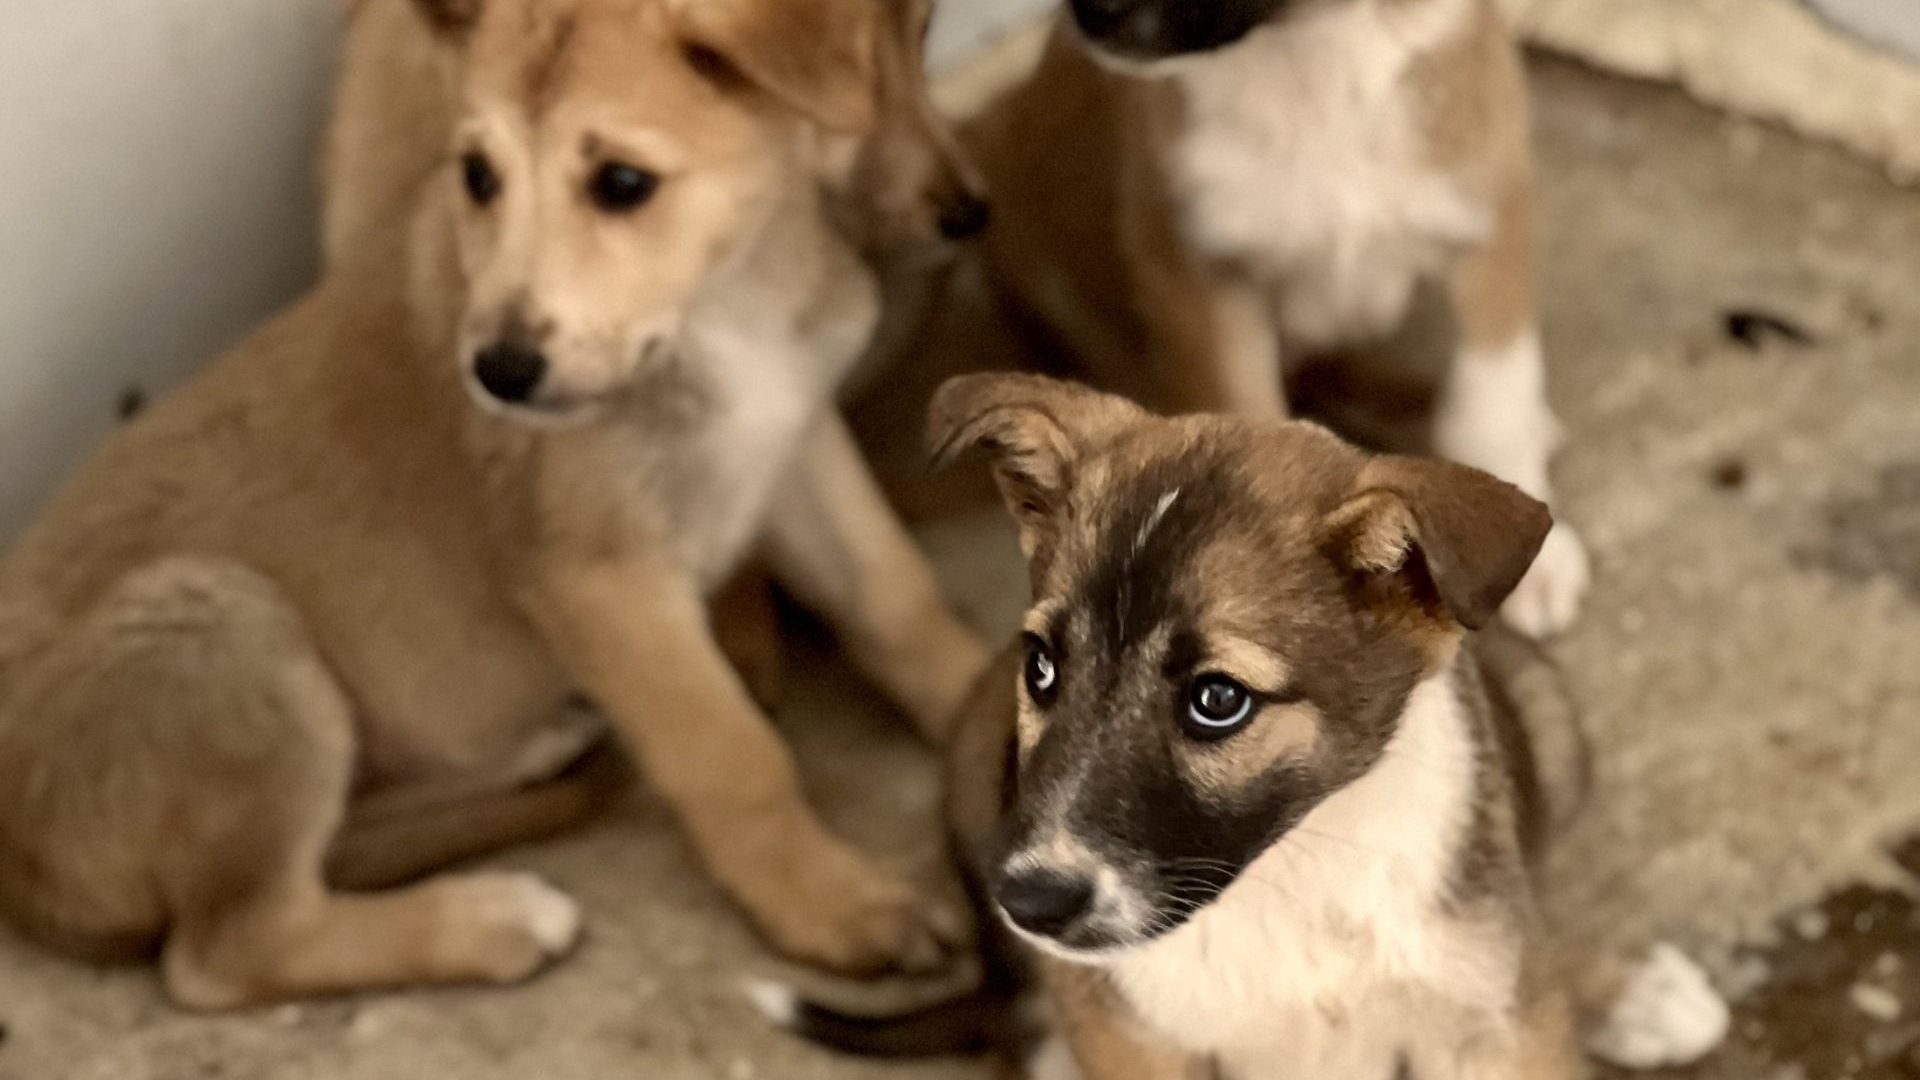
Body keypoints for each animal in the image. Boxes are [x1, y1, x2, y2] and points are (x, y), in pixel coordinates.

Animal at [0, 0, 990, 1006]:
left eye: (622, 182)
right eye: (478, 176)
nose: (501, 373)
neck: (721, 308)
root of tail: (19, 879)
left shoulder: (794, 447)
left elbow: (897, 600)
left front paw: (990, 713)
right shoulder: (599, 578)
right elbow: (732, 754)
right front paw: (832, 901)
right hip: (216, 616)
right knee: (229, 949)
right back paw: (490, 919)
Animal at [760, 372, 1589, 1076]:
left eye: (1218, 699)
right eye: (1042, 666)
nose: (1029, 905)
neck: (1294, 874)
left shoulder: (1496, 1025)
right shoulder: (1132, 1042)